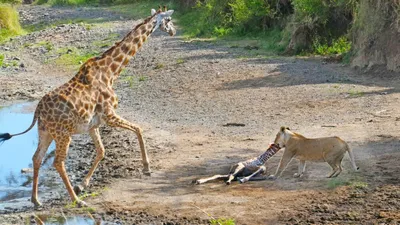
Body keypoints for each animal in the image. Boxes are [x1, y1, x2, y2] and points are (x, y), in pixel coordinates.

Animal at [0, 6, 175, 207]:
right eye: (169, 19)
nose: (173, 31)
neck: (111, 72)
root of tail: (38, 110)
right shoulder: (109, 115)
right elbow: (138, 129)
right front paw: (147, 167)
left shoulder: (93, 124)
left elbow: (101, 151)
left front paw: (81, 185)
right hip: (63, 134)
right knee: (57, 162)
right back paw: (77, 201)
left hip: (45, 131)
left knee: (37, 158)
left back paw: (36, 200)